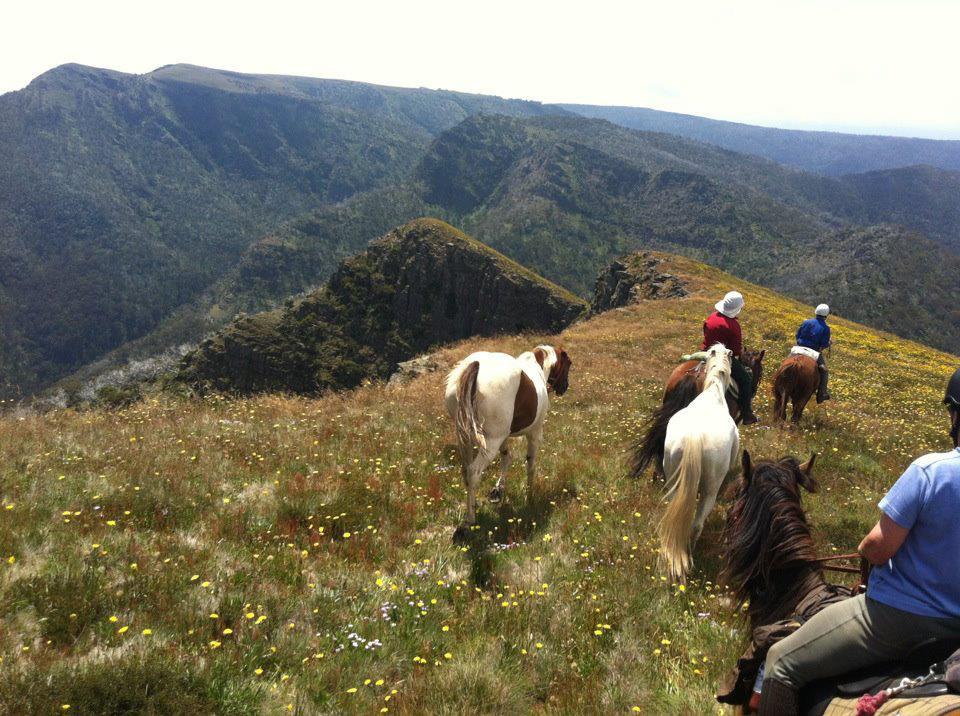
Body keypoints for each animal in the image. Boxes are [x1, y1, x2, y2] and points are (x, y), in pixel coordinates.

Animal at [444, 344, 568, 540]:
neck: (537, 368)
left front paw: (498, 490)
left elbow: (506, 457)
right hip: (490, 443)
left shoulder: (504, 436)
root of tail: (475, 365)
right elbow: (530, 464)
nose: (564, 387)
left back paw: (473, 506)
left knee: (466, 472)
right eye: (569, 364)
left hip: (464, 438)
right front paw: (530, 495)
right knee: (473, 472)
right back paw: (468, 521)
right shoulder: (534, 433)